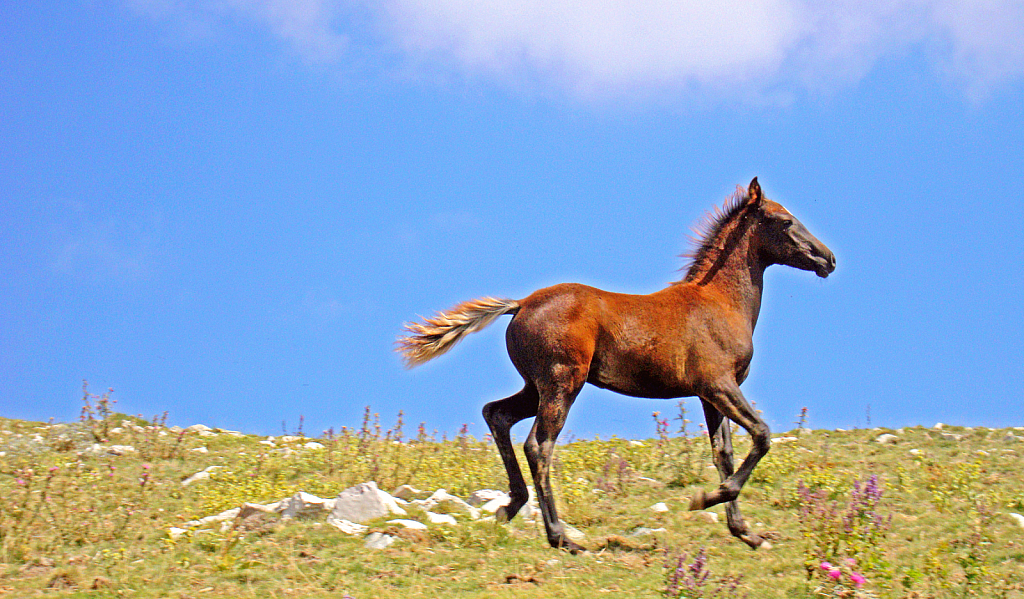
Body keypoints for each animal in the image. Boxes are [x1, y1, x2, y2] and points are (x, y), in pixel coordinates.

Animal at [395, 177, 835, 552]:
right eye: (784, 221)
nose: (828, 259)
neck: (720, 302)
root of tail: (520, 305)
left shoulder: (710, 395)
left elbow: (723, 454)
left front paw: (746, 532)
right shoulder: (718, 384)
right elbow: (761, 435)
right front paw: (703, 499)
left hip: (536, 387)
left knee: (497, 414)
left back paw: (510, 506)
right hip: (562, 383)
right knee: (539, 444)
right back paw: (560, 537)